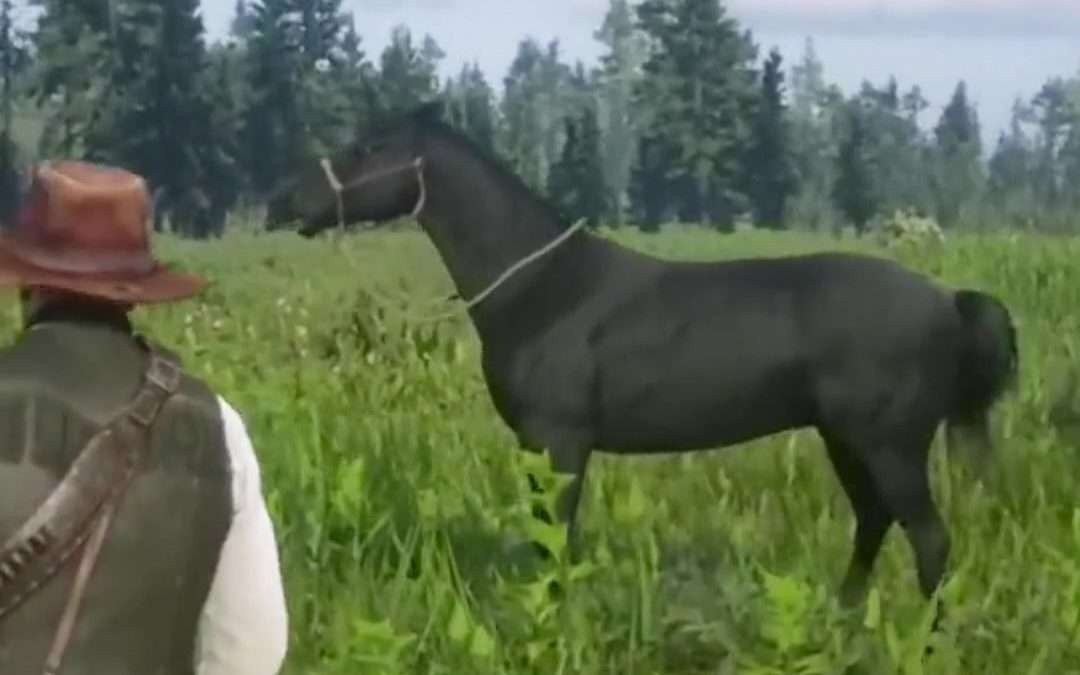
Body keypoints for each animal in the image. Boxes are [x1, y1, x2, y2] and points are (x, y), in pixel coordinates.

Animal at [265, 101, 1018, 610]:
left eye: (368, 146)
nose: (282, 201)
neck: (546, 290)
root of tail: (948, 300)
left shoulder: (561, 440)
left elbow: (555, 537)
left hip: (888, 441)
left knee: (929, 538)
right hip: (847, 438)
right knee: (874, 522)